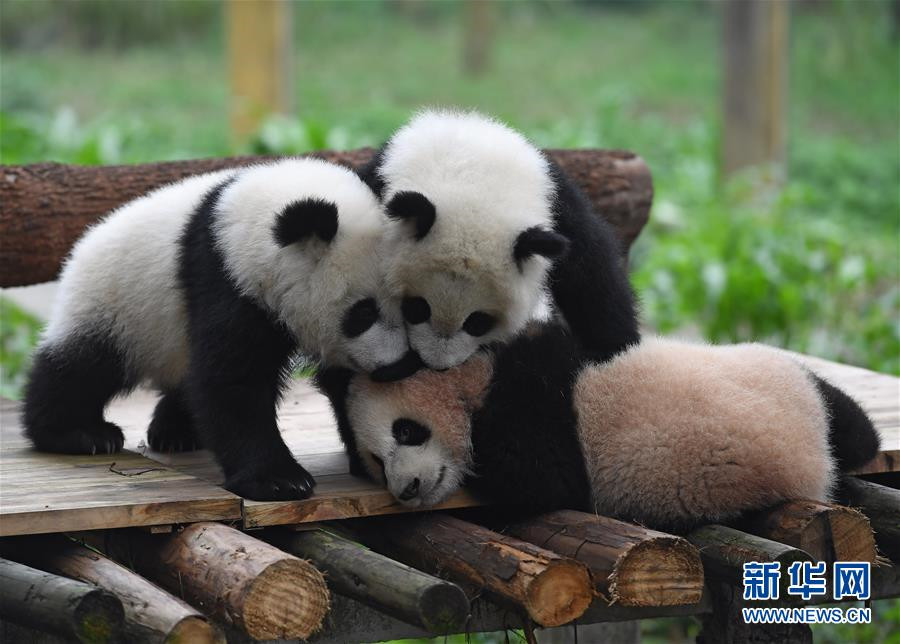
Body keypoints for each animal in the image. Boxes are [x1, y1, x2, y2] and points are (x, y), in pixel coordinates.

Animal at [24, 158, 418, 501]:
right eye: (363, 312)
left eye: (409, 306)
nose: (398, 365)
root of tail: (80, 246)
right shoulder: (226, 280)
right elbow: (232, 380)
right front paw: (279, 481)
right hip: (112, 305)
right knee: (82, 367)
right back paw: (80, 434)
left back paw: (175, 432)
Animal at [321, 322, 881, 532]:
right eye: (377, 462)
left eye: (406, 431)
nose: (406, 488)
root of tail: (813, 458)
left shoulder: (536, 391)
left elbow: (542, 477)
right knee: (855, 428)